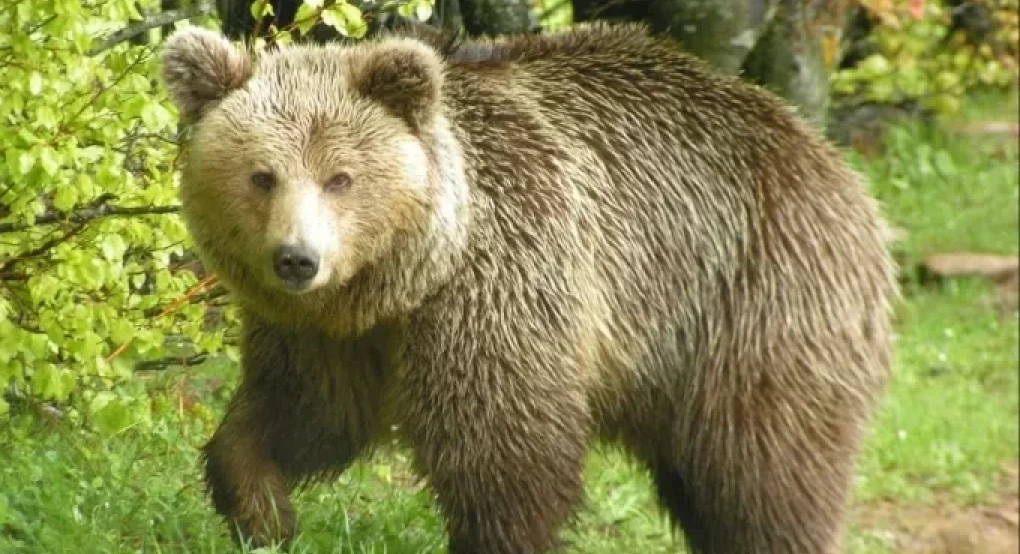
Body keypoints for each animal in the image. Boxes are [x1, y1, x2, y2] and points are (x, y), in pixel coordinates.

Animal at [157, 21, 893, 554]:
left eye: (341, 177)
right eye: (262, 175)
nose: (298, 260)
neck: (407, 278)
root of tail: (831, 162)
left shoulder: (504, 283)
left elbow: (506, 455)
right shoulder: (325, 334)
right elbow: (304, 412)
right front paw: (263, 511)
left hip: (753, 304)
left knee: (763, 474)